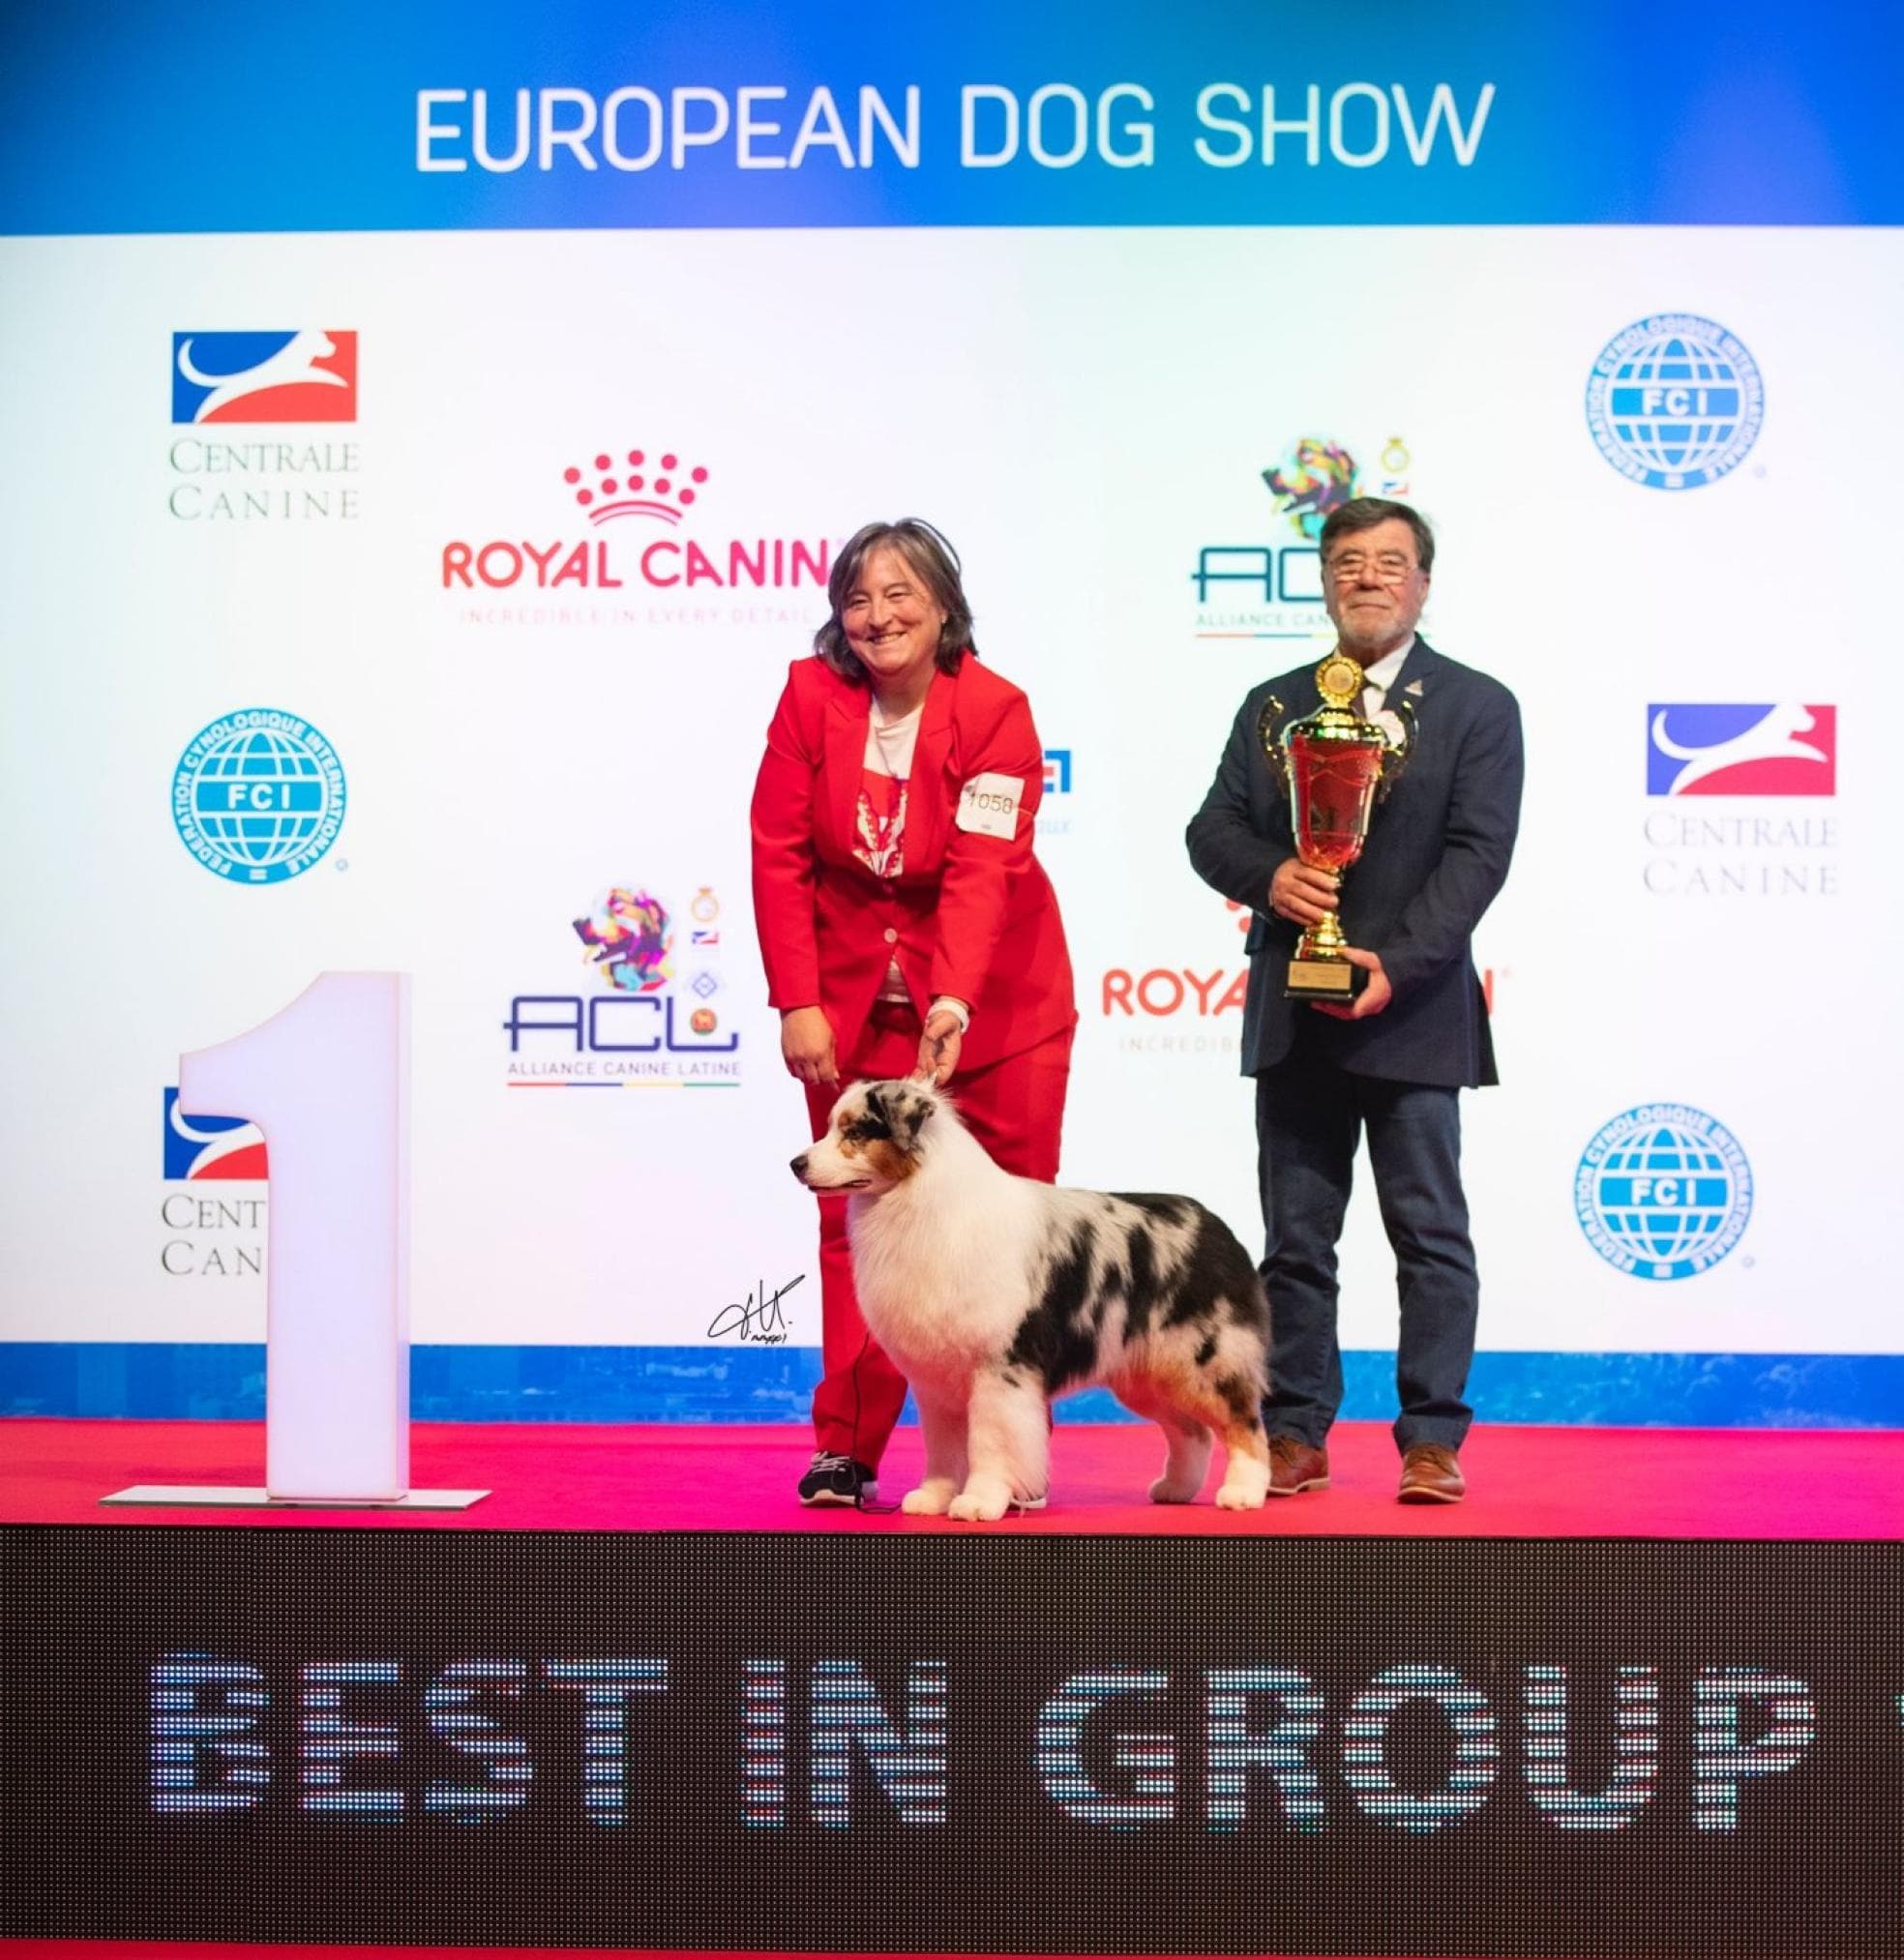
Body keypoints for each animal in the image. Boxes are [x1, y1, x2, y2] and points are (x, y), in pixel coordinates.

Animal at [795, 1082, 1270, 1521]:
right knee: (1193, 1432)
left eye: (856, 1131)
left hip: (1203, 1359)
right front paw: (932, 1498)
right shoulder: (936, 1377)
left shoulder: (998, 1368)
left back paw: (1243, 1493)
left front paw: (979, 1502)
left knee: (1244, 1424)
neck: (919, 1200)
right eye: (833, 1125)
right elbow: (942, 1446)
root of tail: (1217, 1225)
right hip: (1146, 1375)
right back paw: (1175, 1488)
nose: (796, 1164)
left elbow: (988, 1442)